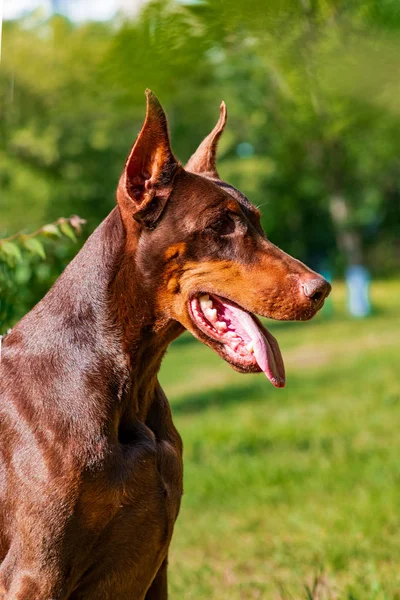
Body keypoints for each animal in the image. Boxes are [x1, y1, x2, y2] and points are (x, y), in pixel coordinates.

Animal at [0, 90, 330, 600]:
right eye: (220, 226)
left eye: (257, 222)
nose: (321, 289)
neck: (127, 378)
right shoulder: (35, 572)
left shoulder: (156, 562)